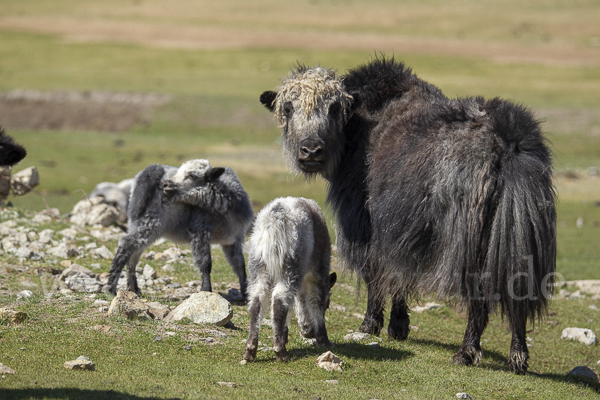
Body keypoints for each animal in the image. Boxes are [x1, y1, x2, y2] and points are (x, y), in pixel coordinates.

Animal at [108, 159, 253, 296]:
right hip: (152, 222)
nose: (165, 185)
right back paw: (111, 288)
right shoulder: (200, 229)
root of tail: (150, 171)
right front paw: (206, 290)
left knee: (134, 252)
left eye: (192, 175)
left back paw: (133, 289)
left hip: (139, 222)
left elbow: (239, 263)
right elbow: (205, 262)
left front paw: (245, 292)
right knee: (127, 244)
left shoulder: (234, 239)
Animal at [244, 197, 338, 362]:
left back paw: (250, 350)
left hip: (257, 264)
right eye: (328, 304)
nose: (308, 333)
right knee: (280, 300)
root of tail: (275, 218)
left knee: (257, 301)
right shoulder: (318, 272)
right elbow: (315, 301)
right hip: (292, 264)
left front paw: (284, 335)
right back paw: (280, 352)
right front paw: (324, 340)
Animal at [260, 57, 556, 374]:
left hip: (470, 241)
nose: (311, 151)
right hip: (517, 234)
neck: (360, 126)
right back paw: (517, 357)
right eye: (288, 108)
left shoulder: (366, 223)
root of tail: (508, 143)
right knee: (519, 289)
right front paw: (398, 325)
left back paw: (465, 352)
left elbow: (378, 272)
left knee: (479, 296)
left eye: (335, 108)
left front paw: (373, 325)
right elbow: (397, 272)